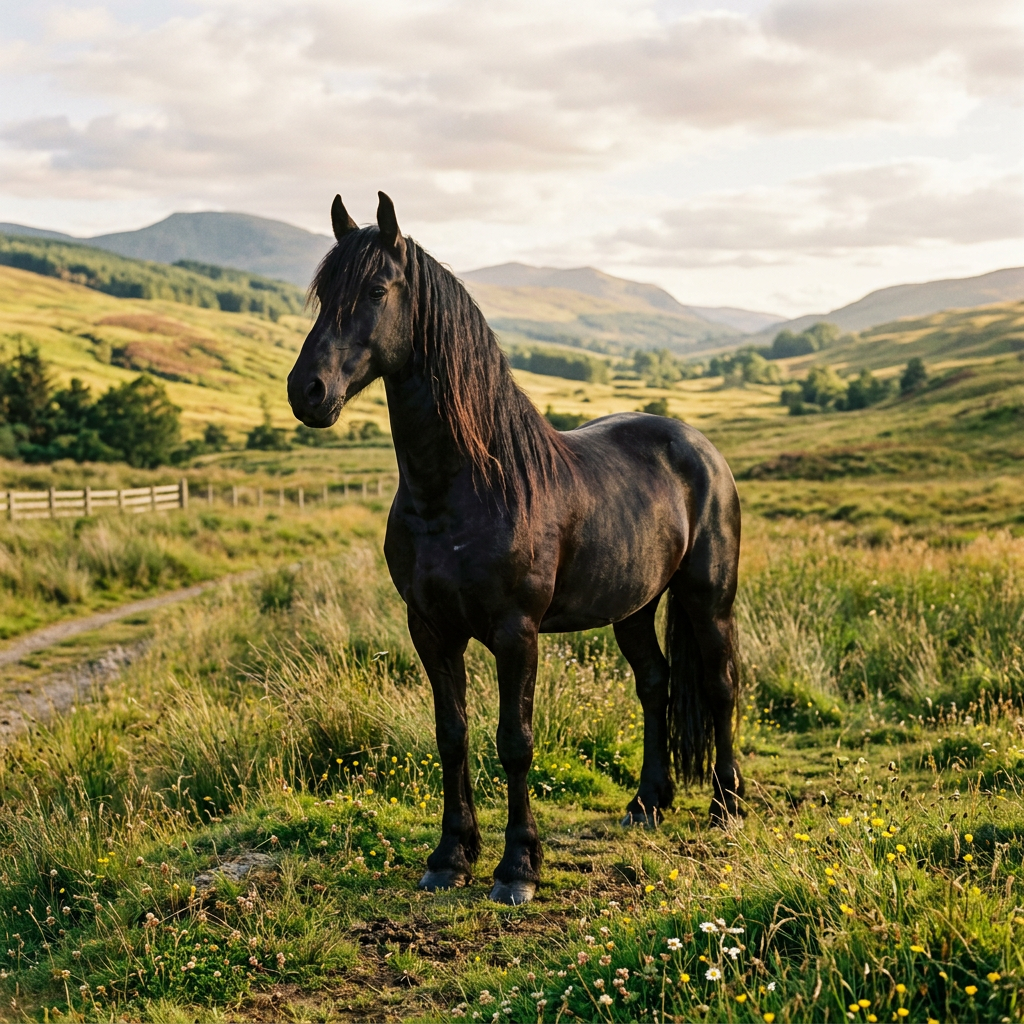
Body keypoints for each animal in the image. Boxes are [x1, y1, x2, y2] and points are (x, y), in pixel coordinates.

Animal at [288, 192, 744, 905]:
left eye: (377, 290)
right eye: (320, 294)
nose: (307, 391)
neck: (463, 487)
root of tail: (700, 447)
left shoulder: (515, 632)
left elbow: (515, 741)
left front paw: (518, 867)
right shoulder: (431, 629)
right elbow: (452, 736)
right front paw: (450, 856)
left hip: (708, 598)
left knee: (720, 686)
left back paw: (727, 806)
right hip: (634, 608)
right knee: (655, 684)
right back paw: (647, 803)